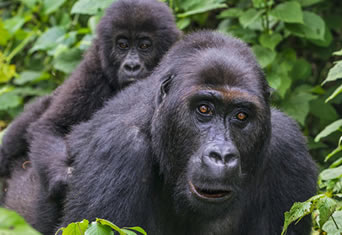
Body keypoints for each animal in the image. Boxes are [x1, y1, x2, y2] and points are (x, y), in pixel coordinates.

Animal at [1, 0, 180, 233]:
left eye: (144, 46)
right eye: (122, 45)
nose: (132, 66)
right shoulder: (92, 71)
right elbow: (52, 126)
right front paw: (64, 178)